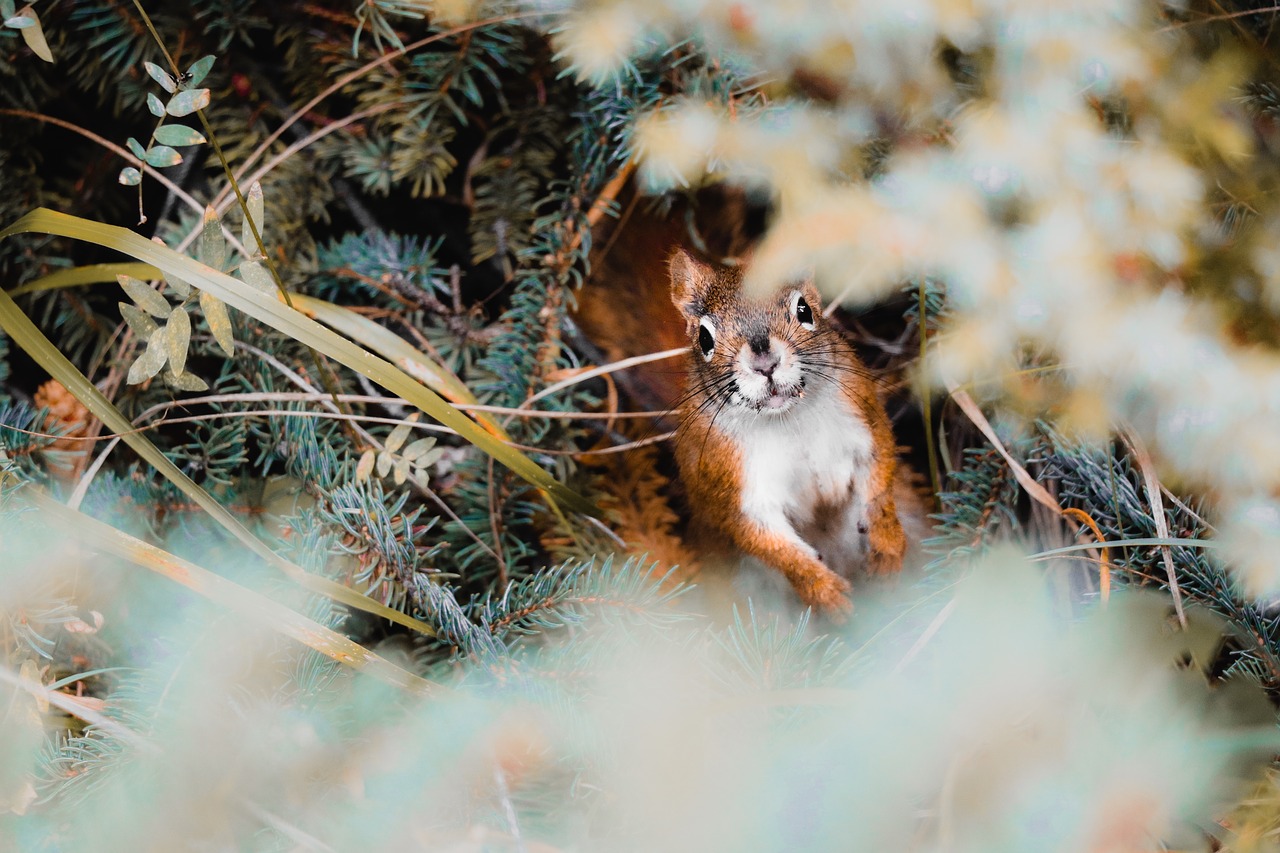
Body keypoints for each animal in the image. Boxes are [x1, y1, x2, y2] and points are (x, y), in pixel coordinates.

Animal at [665, 245, 906, 612]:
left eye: (803, 309)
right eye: (705, 338)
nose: (765, 363)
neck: (788, 418)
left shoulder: (864, 418)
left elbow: (879, 480)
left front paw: (888, 543)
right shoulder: (731, 482)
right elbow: (771, 544)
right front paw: (823, 589)